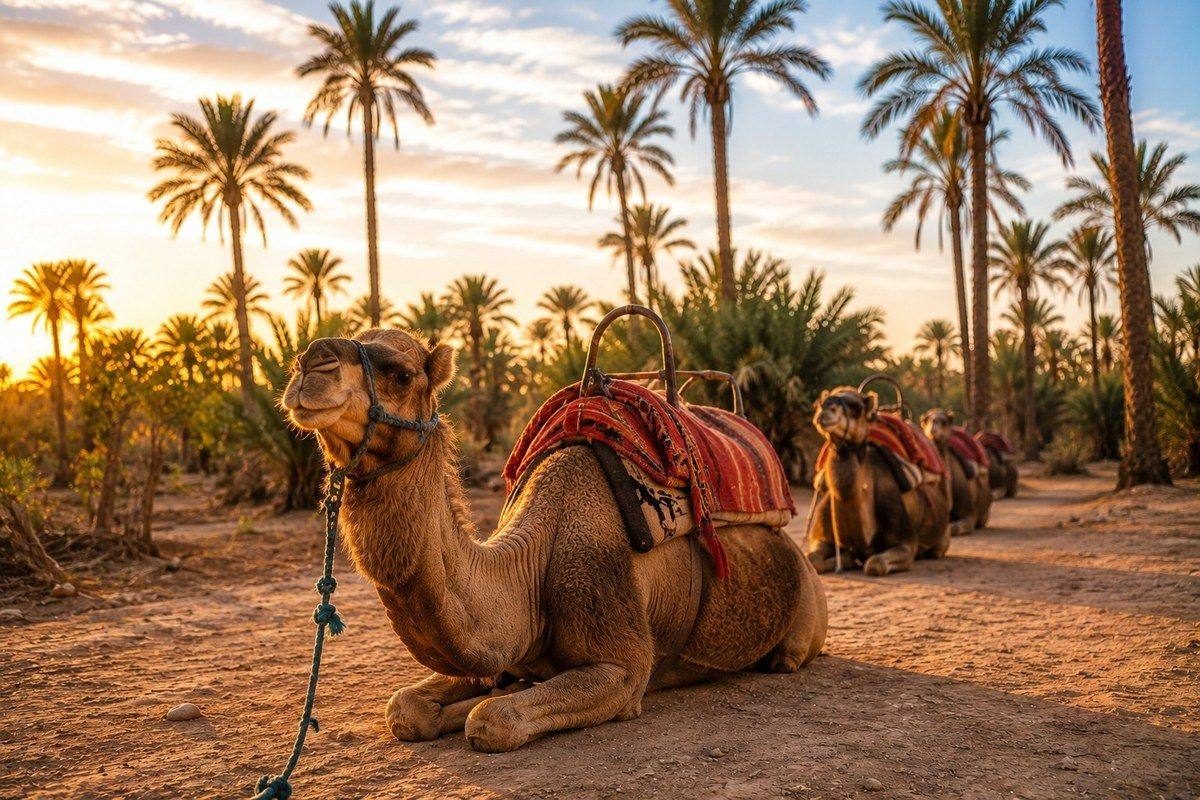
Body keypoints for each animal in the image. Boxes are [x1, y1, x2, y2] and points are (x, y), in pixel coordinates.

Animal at [282, 329, 827, 753]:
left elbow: (493, 717)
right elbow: (407, 707)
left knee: (788, 656)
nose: (310, 361)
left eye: (398, 372)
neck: (528, 562)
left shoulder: (621, 668)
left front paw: (485, 705)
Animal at [805, 387, 951, 576]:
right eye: (820, 403)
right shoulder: (821, 536)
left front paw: (853, 559)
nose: (825, 411)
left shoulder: (906, 542)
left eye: (856, 407)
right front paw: (846, 559)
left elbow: (875, 564)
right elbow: (812, 559)